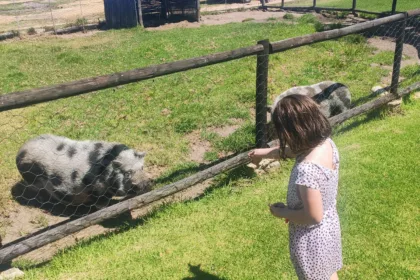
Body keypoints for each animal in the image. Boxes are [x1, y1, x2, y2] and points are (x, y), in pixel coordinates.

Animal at [15, 135, 153, 209]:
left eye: (141, 168)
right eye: (127, 173)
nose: (144, 183)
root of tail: (20, 151)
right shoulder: (97, 190)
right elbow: (101, 204)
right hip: (32, 180)